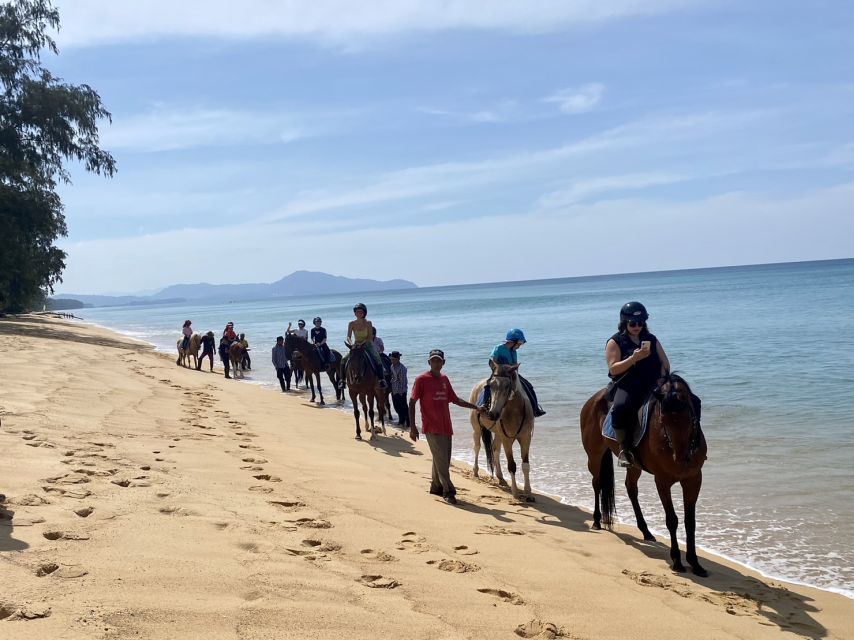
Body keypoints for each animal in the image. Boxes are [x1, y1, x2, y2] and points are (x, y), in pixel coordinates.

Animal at [472, 362, 540, 502]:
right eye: (490, 385)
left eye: (507, 386)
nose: (492, 414)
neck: (514, 411)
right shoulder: (507, 440)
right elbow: (512, 465)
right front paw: (515, 493)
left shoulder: (526, 438)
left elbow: (526, 465)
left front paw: (528, 493)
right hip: (477, 428)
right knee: (477, 447)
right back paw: (475, 471)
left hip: (498, 434)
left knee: (495, 450)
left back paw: (501, 478)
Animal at [580, 370, 708, 576]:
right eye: (663, 419)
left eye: (689, 416)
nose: (680, 459)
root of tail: (593, 399)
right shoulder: (662, 481)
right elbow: (672, 520)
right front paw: (677, 561)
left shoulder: (693, 479)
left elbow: (690, 522)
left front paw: (695, 563)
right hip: (594, 455)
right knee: (597, 483)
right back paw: (597, 521)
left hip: (634, 466)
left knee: (631, 489)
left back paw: (646, 531)